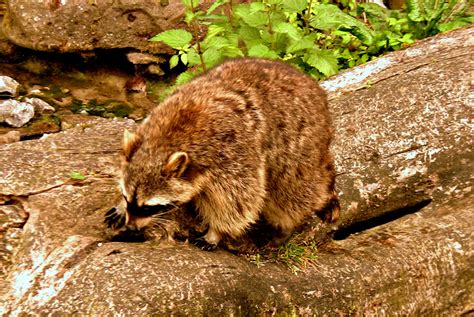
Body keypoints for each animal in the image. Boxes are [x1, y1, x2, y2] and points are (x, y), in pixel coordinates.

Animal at [105, 58, 338, 248]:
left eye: (149, 208)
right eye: (128, 198)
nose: (132, 228)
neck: (165, 141)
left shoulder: (233, 154)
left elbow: (239, 202)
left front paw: (216, 232)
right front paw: (120, 206)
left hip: (298, 147)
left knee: (291, 191)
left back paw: (287, 224)